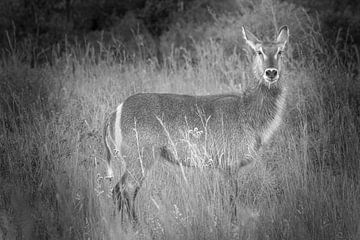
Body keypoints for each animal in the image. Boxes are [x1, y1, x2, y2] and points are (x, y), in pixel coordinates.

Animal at [103, 26, 290, 223]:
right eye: (259, 51)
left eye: (280, 51)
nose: (271, 72)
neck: (246, 110)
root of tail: (116, 111)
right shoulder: (229, 163)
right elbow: (232, 198)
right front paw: (233, 225)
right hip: (140, 157)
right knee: (126, 189)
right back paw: (136, 225)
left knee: (117, 190)